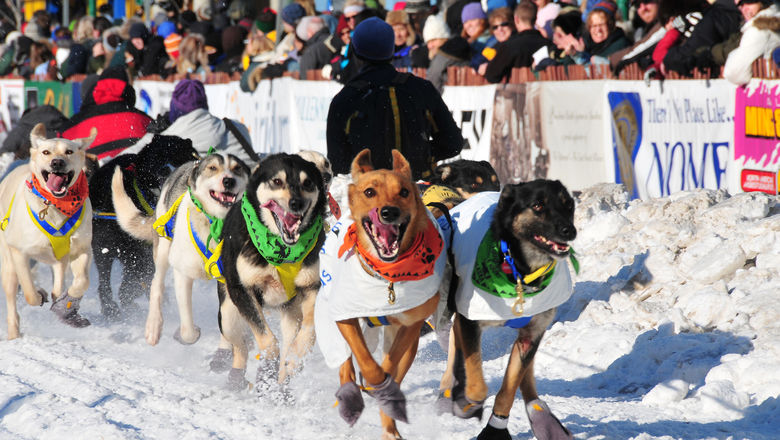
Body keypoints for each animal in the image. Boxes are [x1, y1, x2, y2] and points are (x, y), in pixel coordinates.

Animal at [312, 150, 444, 438]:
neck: (386, 277)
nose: (389, 212)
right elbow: (364, 360)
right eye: (370, 191)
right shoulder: (345, 317)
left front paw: (386, 398)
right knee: (345, 365)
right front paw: (371, 381)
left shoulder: (410, 325)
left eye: (404, 191)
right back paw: (351, 395)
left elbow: (391, 366)